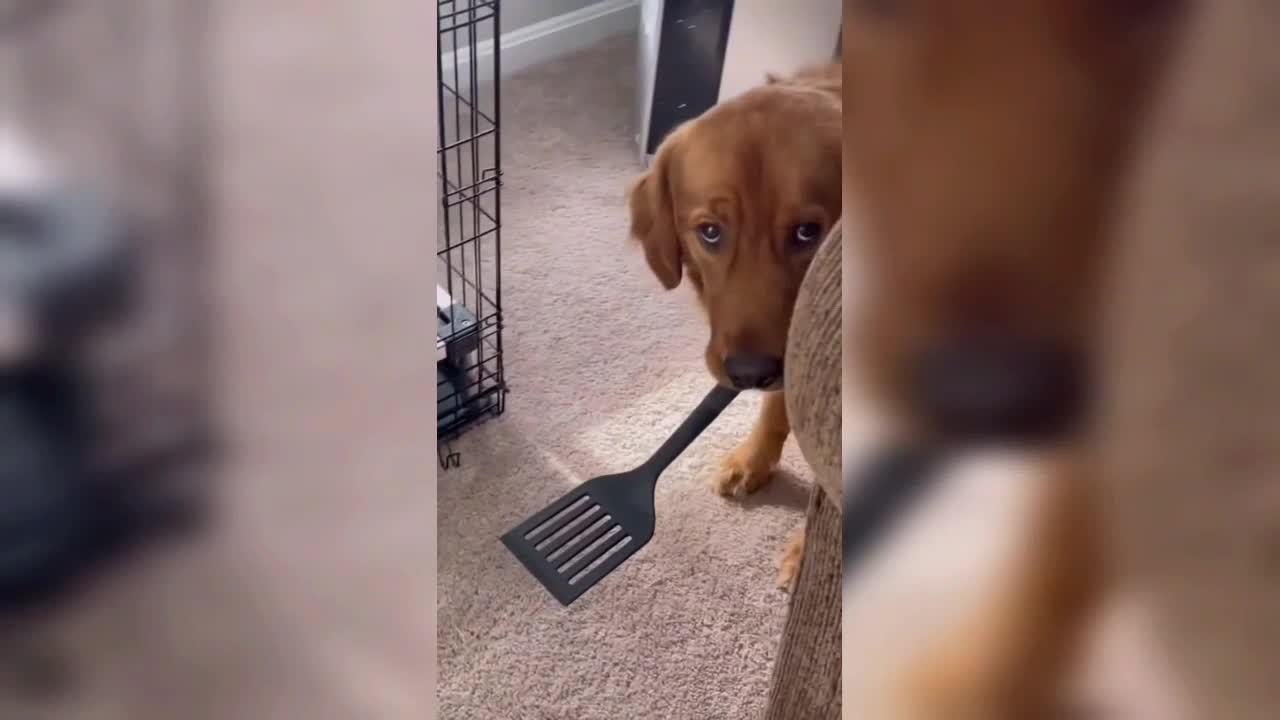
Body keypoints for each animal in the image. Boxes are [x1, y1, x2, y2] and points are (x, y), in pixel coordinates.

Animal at [627, 64, 839, 586]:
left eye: (807, 232)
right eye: (709, 232)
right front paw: (752, 461)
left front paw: (807, 556)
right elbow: (777, 409)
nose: (749, 373)